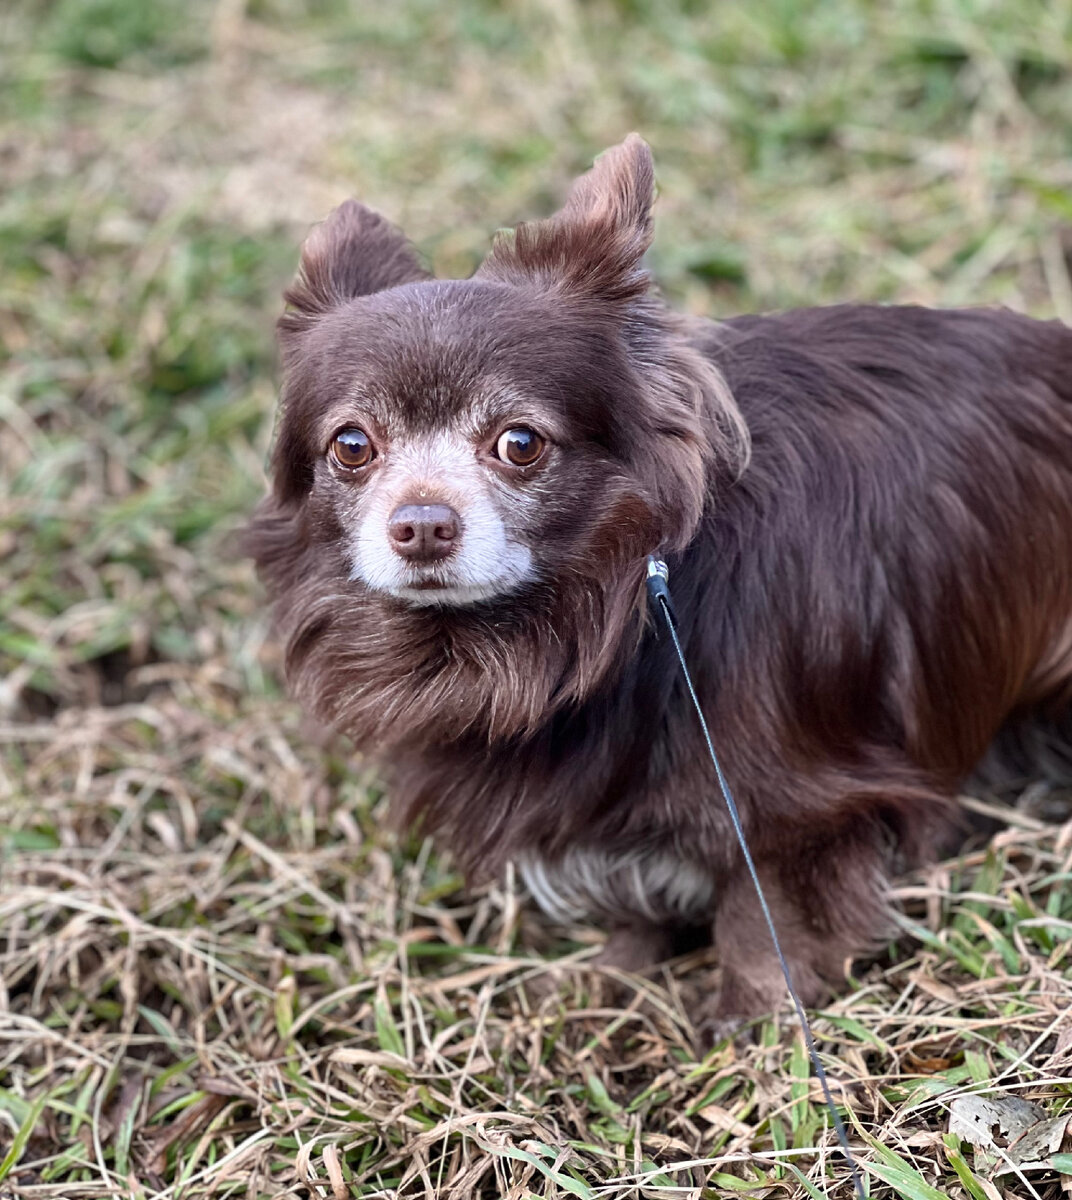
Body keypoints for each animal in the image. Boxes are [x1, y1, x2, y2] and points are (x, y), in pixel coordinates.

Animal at [247, 140, 1070, 1022]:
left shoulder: (798, 811)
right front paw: (613, 977)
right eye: (352, 446)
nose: (422, 524)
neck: (607, 611)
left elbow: (763, 926)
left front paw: (757, 1031)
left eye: (520, 443)